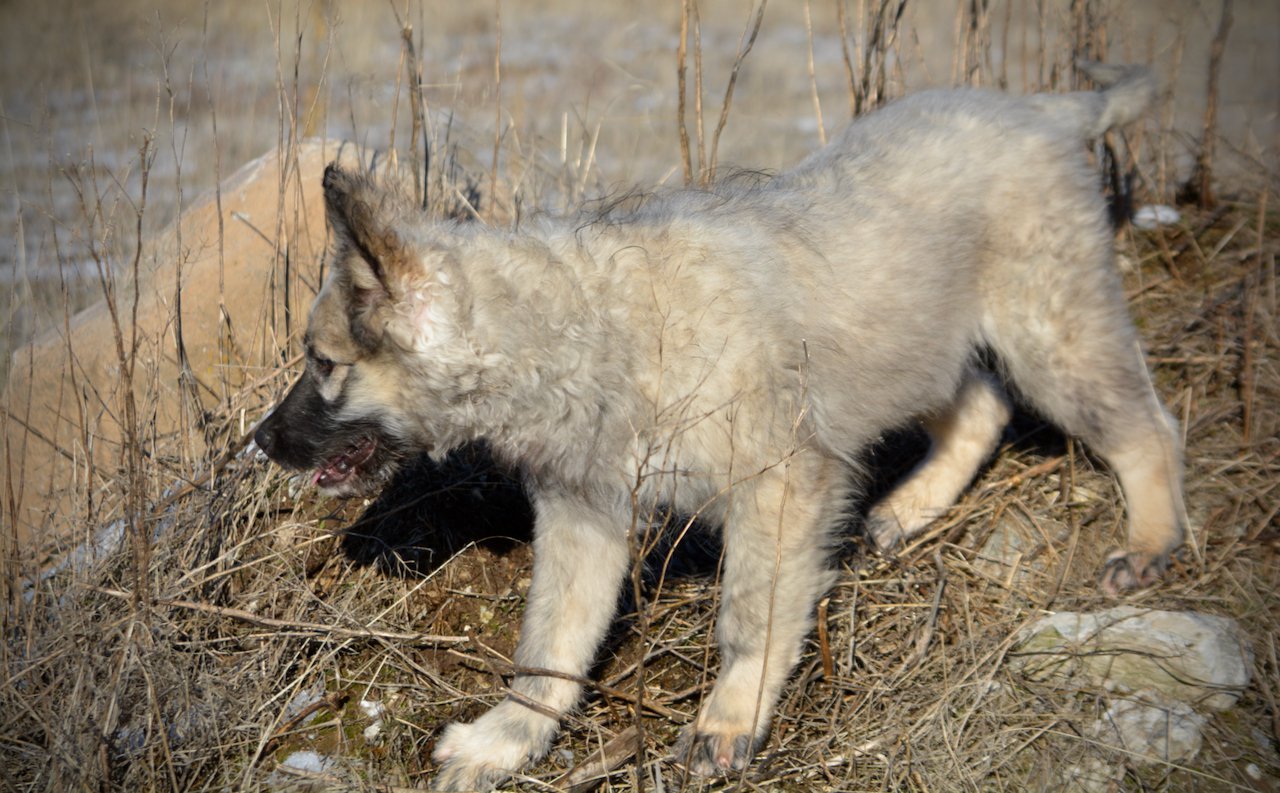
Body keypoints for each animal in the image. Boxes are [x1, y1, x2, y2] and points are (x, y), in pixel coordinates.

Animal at [254, 64, 1182, 787]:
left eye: (323, 363)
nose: (261, 442)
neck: (581, 328)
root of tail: (1044, 109)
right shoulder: (584, 517)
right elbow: (550, 647)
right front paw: (507, 739)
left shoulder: (779, 484)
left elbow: (748, 614)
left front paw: (730, 720)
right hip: (920, 339)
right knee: (982, 404)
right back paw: (909, 508)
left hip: (1050, 333)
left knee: (1147, 426)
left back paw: (1149, 539)